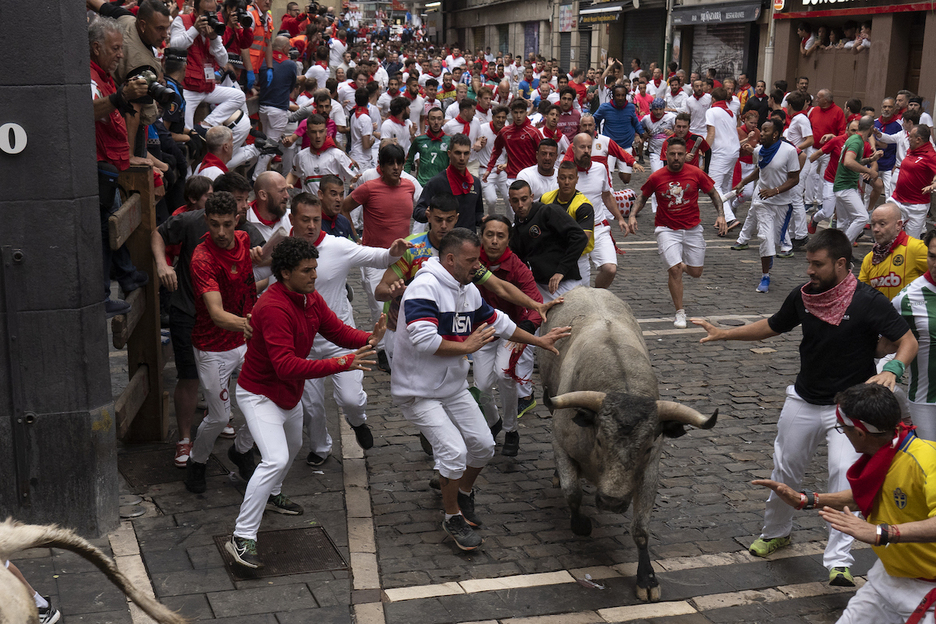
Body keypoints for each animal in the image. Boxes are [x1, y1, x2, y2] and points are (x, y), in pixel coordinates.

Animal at [540, 290, 716, 604]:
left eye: (646, 448)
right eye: (599, 439)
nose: (611, 501)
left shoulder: (650, 471)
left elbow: (641, 530)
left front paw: (646, 578)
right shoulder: (560, 443)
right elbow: (572, 492)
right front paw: (580, 524)